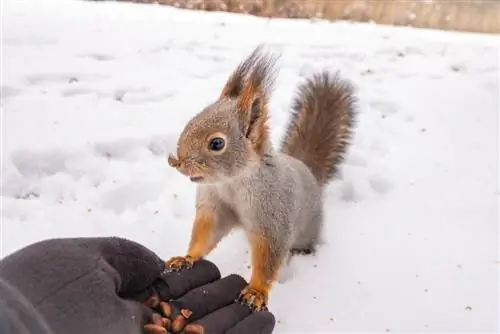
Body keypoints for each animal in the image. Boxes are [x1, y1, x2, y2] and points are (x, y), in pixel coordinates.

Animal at [166, 45, 358, 312]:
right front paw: (186, 258)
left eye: (217, 143)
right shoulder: (215, 207)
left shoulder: (273, 218)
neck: (232, 183)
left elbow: (269, 255)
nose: (178, 162)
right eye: (191, 121)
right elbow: (206, 235)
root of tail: (307, 169)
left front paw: (256, 291)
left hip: (308, 228)